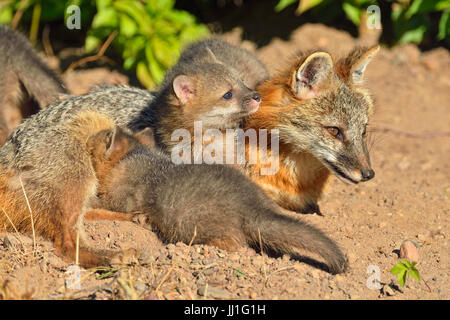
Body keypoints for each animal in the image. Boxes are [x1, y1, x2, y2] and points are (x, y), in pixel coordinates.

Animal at [84, 126, 348, 274]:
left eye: (100, 138)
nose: (86, 140)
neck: (135, 157)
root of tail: (253, 208)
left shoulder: (122, 199)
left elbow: (106, 203)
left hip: (189, 221)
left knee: (235, 243)